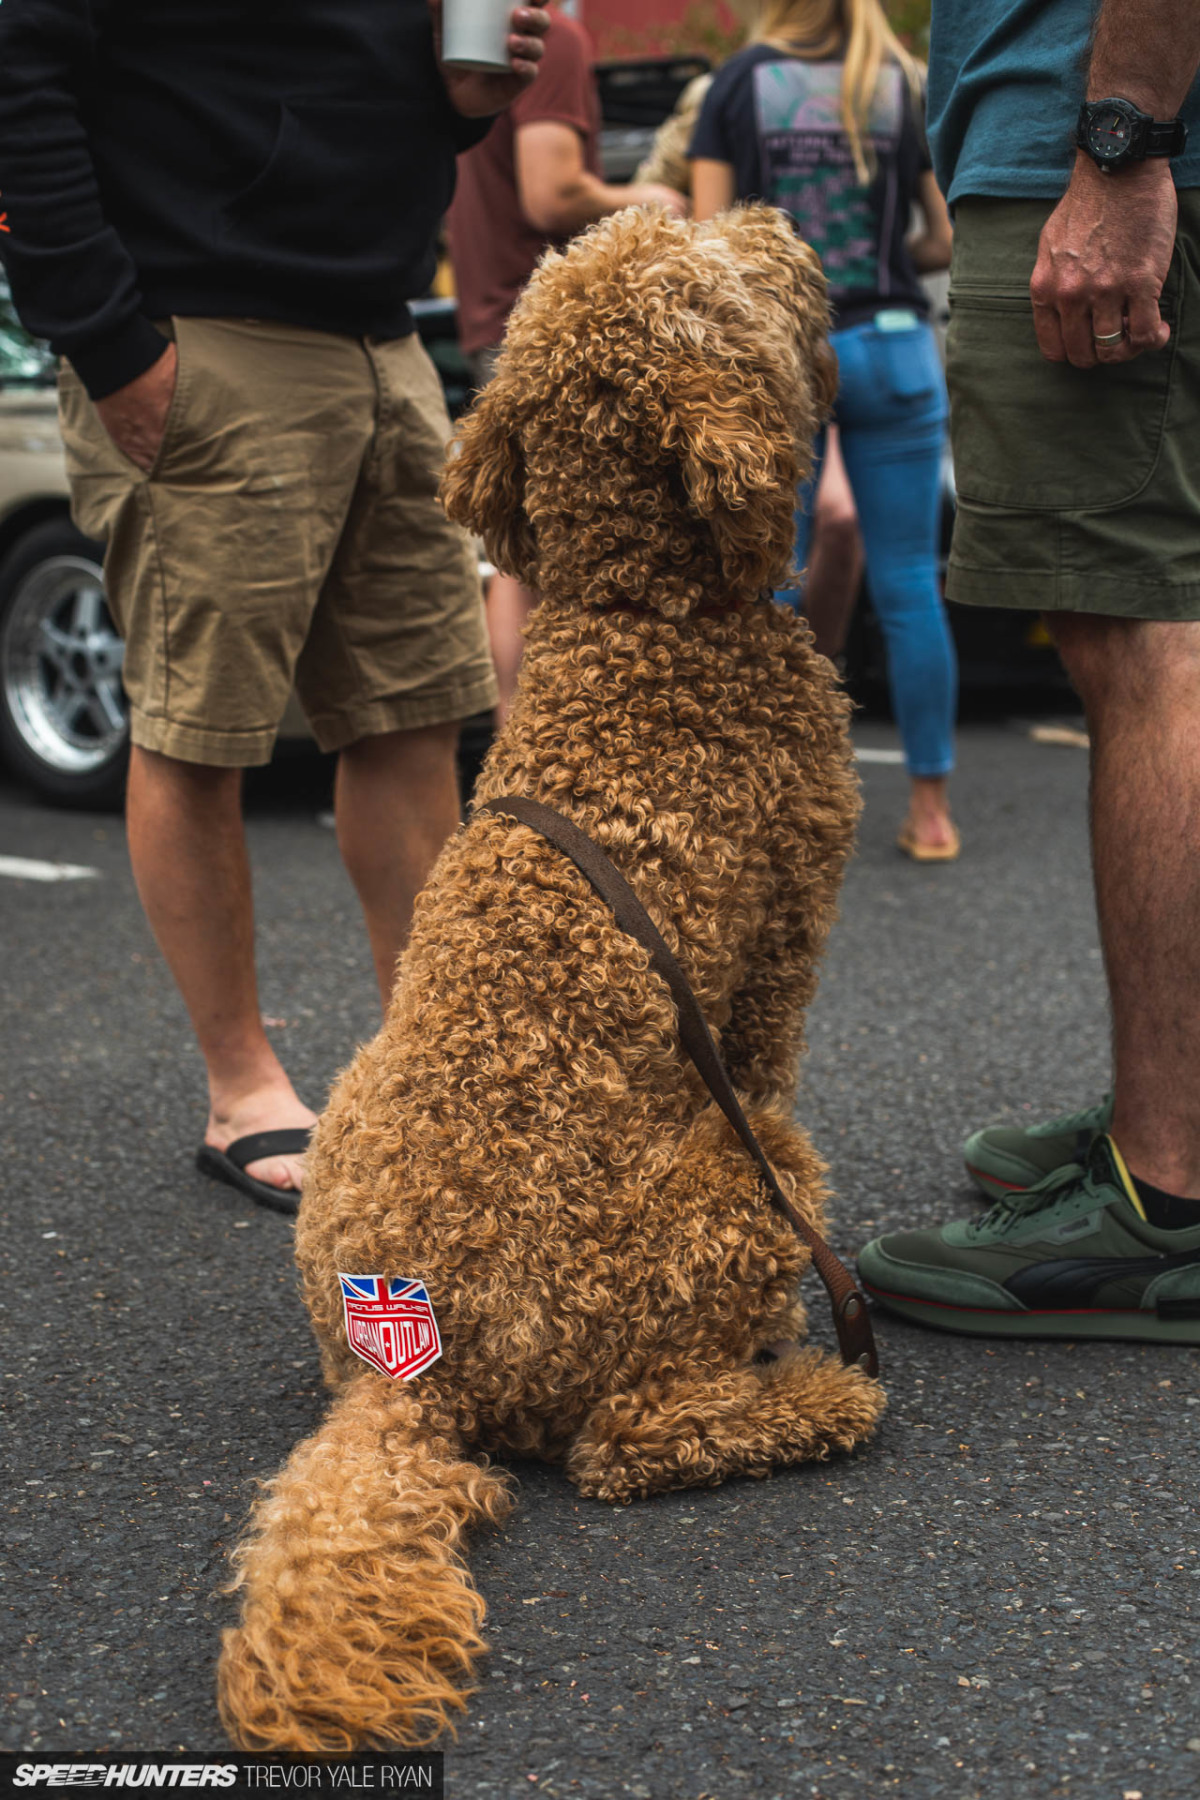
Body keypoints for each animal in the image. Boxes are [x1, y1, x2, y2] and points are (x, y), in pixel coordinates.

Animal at [215, 204, 881, 1749]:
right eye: (714, 278)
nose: (773, 218)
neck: (641, 616)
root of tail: (408, 1376)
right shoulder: (771, 971)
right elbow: (766, 1042)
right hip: (735, 1172)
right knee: (623, 1442)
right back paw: (810, 1398)